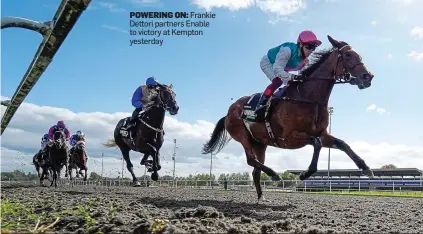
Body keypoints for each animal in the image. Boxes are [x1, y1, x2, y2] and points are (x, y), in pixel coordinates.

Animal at [204, 35, 376, 201]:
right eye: (347, 55)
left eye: (359, 55)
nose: (368, 77)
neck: (308, 98)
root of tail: (228, 113)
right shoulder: (288, 138)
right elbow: (316, 143)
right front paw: (305, 173)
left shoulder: (322, 133)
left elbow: (342, 144)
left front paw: (366, 168)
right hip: (242, 135)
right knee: (250, 160)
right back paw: (274, 175)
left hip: (260, 144)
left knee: (255, 170)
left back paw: (261, 196)